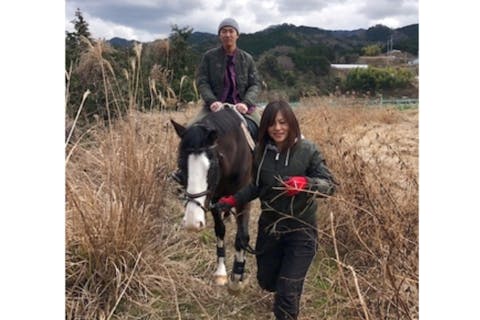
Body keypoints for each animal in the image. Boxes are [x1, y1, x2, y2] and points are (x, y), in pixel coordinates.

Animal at [172, 107, 255, 290]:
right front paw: (221, 273)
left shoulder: (244, 198)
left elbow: (242, 235)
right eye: (181, 163)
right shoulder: (215, 198)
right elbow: (220, 230)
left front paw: (237, 276)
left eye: (212, 165)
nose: (192, 223)